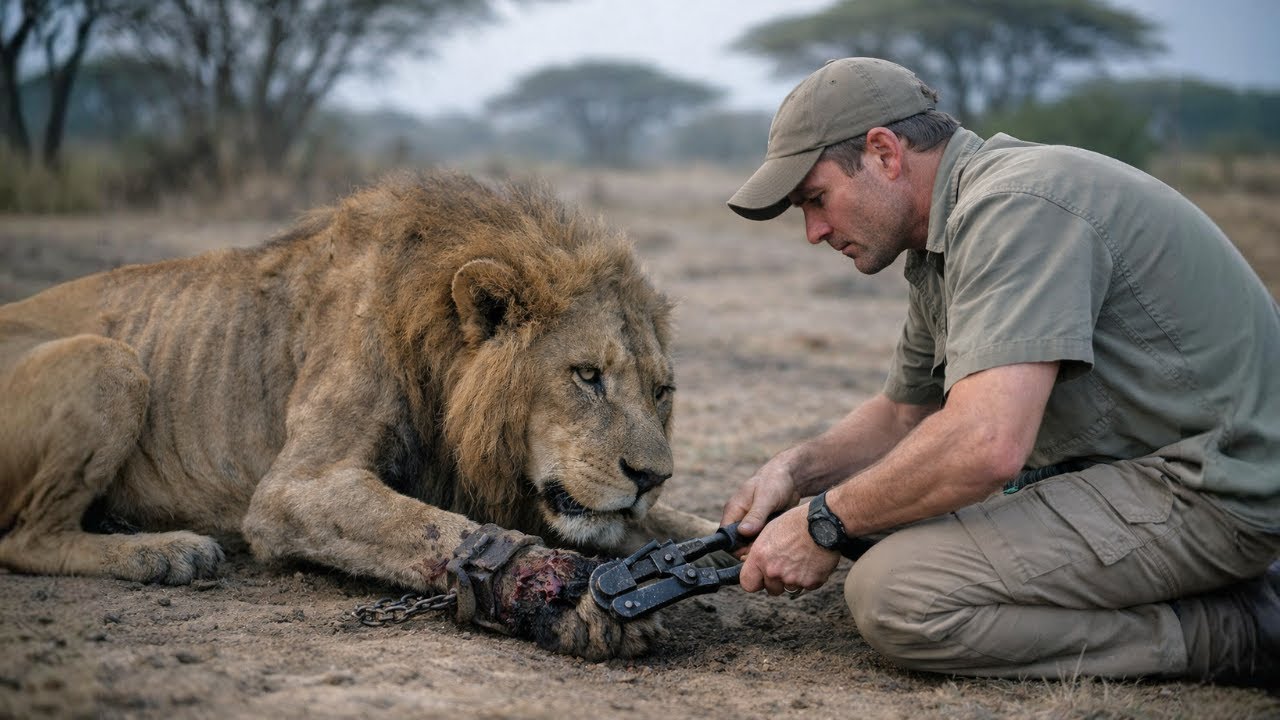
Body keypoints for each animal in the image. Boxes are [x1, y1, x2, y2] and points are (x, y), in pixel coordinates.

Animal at [0, 172, 721, 660]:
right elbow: (435, 529)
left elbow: (685, 527)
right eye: (587, 375)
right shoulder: (295, 490)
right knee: (25, 538)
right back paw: (167, 554)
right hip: (110, 359)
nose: (652, 477)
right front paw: (569, 595)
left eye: (662, 391)